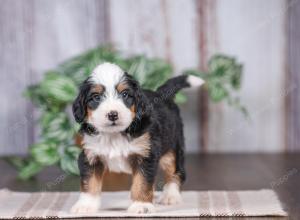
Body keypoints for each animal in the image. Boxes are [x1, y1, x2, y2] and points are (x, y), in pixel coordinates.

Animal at [70, 62, 204, 214]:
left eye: (124, 94)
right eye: (96, 97)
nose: (112, 114)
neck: (114, 135)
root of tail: (161, 94)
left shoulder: (145, 155)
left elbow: (142, 182)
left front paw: (141, 205)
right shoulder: (90, 155)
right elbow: (89, 182)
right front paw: (85, 205)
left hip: (173, 147)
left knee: (175, 171)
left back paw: (170, 196)